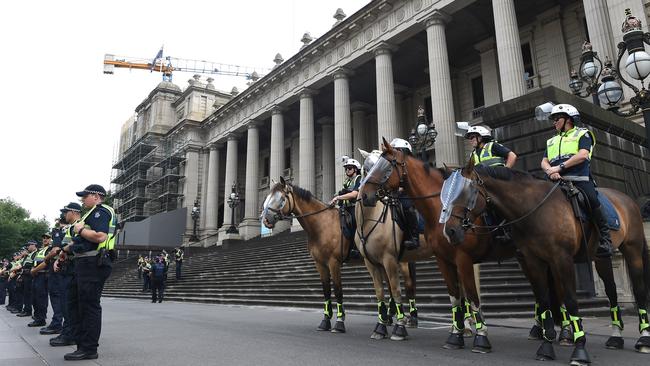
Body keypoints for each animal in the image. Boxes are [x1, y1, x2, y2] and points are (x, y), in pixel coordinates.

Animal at [260, 177, 416, 334]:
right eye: (267, 198)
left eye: (281, 198)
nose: (265, 219)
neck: (322, 224)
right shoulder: (320, 264)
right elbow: (326, 292)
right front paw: (325, 321)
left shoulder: (333, 262)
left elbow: (338, 291)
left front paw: (339, 322)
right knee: (390, 286)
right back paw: (389, 318)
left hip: (399, 261)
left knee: (408, 286)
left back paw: (411, 319)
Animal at [356, 139, 512, 354]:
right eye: (366, 168)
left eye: (386, 167)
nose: (366, 196)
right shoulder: (372, 263)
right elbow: (381, 294)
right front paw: (381, 326)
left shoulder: (390, 259)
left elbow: (396, 292)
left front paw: (399, 328)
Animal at [440, 159, 648, 364]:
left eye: (465, 192)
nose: (449, 231)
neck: (535, 210)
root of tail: (626, 198)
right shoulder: (534, 261)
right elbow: (544, 299)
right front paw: (546, 347)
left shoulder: (562, 259)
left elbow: (570, 300)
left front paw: (579, 350)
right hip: (600, 257)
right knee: (612, 291)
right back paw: (616, 337)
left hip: (633, 249)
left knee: (639, 289)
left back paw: (643, 339)